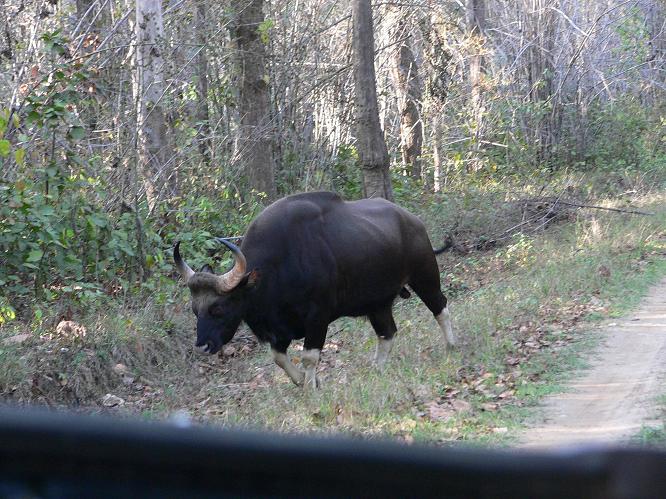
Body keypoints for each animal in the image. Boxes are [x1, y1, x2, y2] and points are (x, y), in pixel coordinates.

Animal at [174, 191, 455, 389]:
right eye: (195, 310)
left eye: (218, 308)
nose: (201, 346)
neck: (276, 268)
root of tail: (414, 221)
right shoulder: (279, 328)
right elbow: (279, 357)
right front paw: (304, 381)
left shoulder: (318, 317)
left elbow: (309, 356)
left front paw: (310, 387)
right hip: (378, 303)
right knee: (388, 332)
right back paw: (377, 369)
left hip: (425, 276)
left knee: (440, 308)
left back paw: (451, 346)